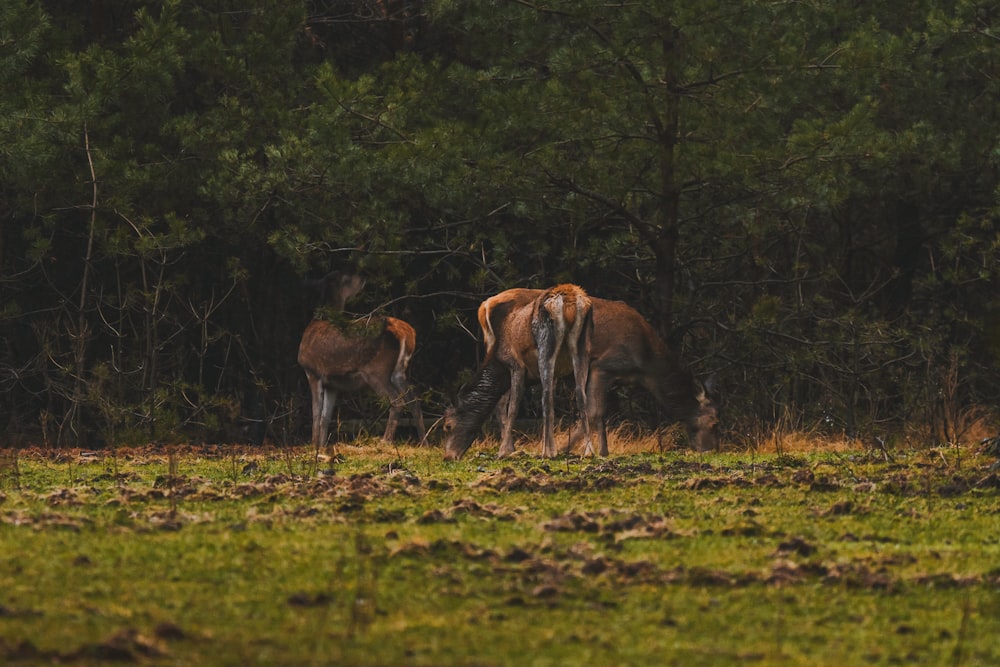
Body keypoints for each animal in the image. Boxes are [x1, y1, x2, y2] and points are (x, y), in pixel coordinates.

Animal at [294, 272, 424, 448]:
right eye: (345, 278)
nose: (363, 278)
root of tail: (407, 332)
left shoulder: (312, 371)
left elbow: (316, 413)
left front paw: (313, 445)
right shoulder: (332, 383)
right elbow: (325, 417)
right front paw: (321, 446)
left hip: (377, 370)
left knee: (397, 400)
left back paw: (385, 440)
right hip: (399, 371)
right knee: (414, 399)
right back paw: (424, 441)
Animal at [446, 290, 720, 462]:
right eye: (714, 422)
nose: (710, 450)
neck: (645, 364)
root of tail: (483, 305)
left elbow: (601, 412)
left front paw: (599, 449)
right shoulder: (603, 365)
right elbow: (594, 410)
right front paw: (574, 448)